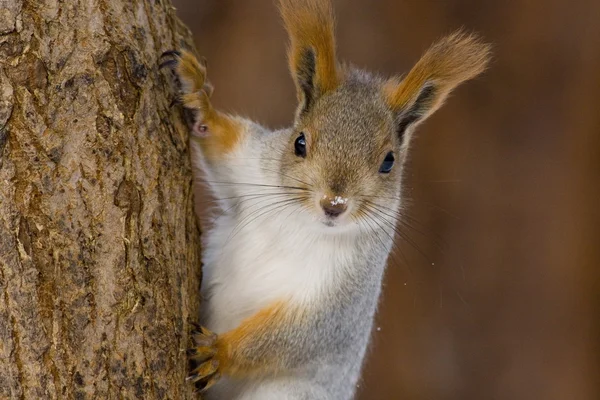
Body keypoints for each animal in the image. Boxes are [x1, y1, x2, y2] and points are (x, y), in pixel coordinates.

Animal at [162, 0, 490, 400]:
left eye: (388, 161)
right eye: (299, 142)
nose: (334, 203)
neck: (300, 221)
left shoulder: (344, 295)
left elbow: (294, 336)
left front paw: (218, 353)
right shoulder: (251, 167)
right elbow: (221, 146)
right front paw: (196, 95)